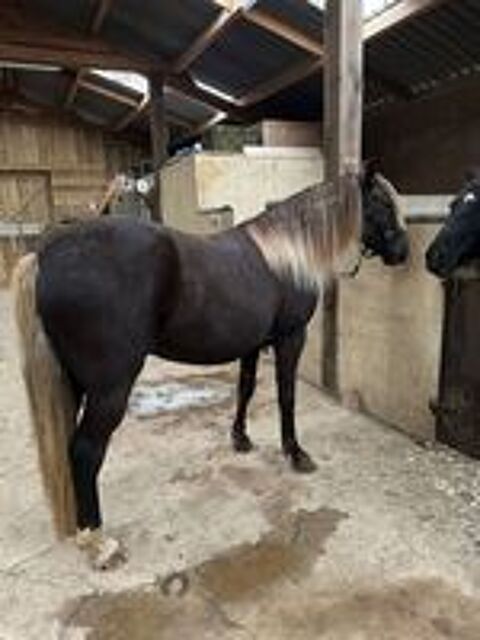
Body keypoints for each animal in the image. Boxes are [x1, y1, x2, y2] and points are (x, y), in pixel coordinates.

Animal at [12, 165, 409, 569]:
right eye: (381, 204)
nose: (403, 252)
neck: (286, 254)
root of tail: (46, 257)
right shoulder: (290, 338)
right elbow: (287, 396)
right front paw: (295, 453)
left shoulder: (252, 346)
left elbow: (245, 389)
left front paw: (240, 438)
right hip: (110, 388)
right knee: (85, 451)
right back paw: (98, 541)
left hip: (73, 383)